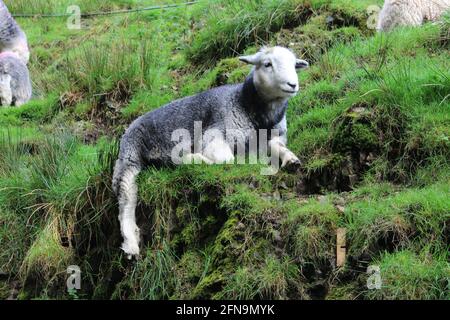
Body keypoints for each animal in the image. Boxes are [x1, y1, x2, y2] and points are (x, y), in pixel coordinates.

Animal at [112, 46, 310, 258]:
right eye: (267, 64)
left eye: (294, 64)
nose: (293, 84)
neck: (248, 107)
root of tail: (130, 125)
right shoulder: (213, 134)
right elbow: (228, 160)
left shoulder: (271, 137)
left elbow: (277, 147)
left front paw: (291, 160)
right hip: (130, 157)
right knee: (125, 199)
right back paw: (131, 243)